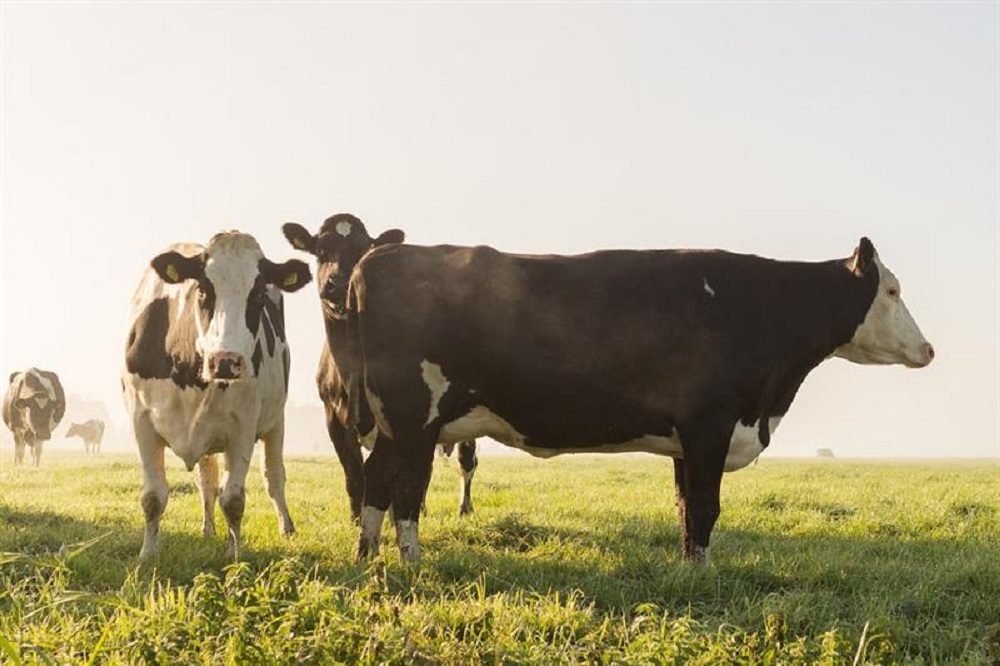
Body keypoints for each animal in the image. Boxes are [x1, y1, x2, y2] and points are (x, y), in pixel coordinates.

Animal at [124, 231, 312, 556]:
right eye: (202, 290)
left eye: (258, 295)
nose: (226, 360)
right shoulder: (142, 421)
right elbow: (153, 497)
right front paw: (148, 555)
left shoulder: (242, 427)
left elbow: (234, 500)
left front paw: (235, 555)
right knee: (207, 480)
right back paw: (208, 529)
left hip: (276, 422)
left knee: (273, 475)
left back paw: (286, 527)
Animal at [284, 213, 482, 520]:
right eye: (320, 251)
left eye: (362, 250)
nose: (339, 283)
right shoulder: (334, 419)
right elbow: (355, 476)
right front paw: (357, 519)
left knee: (466, 461)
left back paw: (463, 508)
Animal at [346, 236, 936, 564]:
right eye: (891, 290)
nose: (929, 349)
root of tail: (378, 255)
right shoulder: (709, 425)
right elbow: (705, 507)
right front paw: (701, 575)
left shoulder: (685, 439)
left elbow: (685, 509)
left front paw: (690, 569)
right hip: (414, 418)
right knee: (406, 490)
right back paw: (411, 562)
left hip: (395, 423)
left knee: (376, 480)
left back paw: (367, 557)